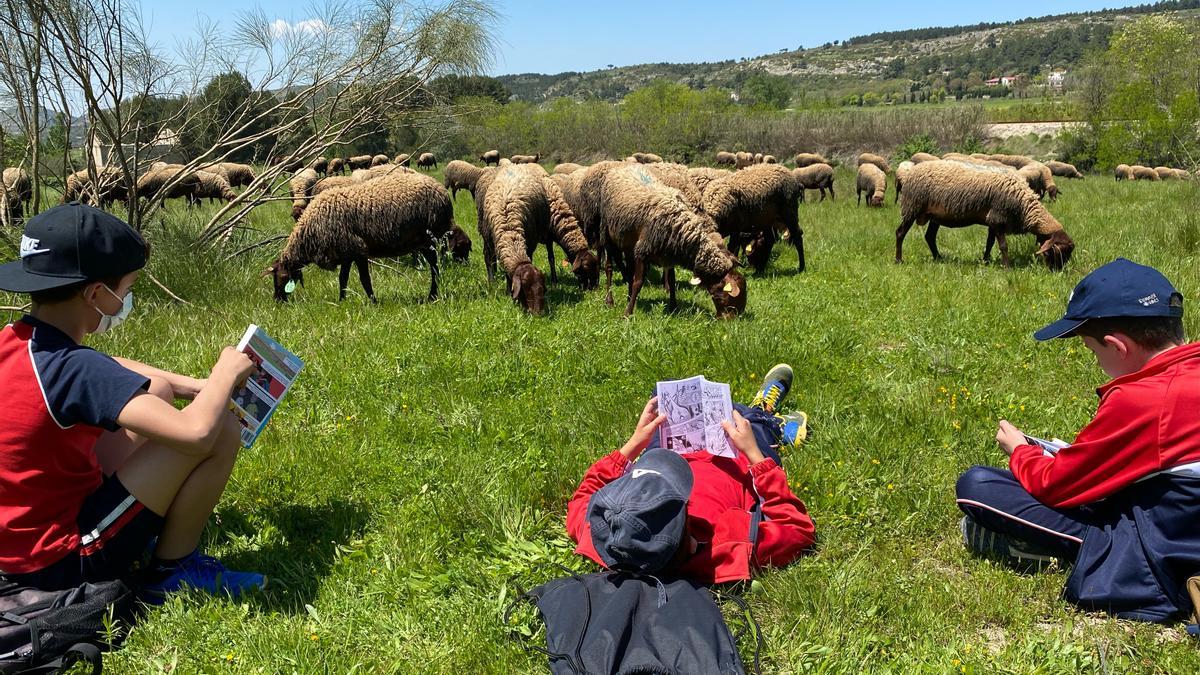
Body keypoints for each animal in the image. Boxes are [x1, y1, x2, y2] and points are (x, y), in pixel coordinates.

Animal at [595, 164, 744, 317]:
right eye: (728, 297)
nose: (731, 319)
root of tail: (624, 166)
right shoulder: (642, 251)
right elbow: (639, 282)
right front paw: (628, 313)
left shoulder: (669, 255)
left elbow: (672, 281)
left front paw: (673, 307)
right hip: (607, 234)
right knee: (609, 268)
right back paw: (609, 300)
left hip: (628, 242)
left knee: (629, 269)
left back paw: (629, 296)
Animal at [897, 158, 1075, 269]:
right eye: (1059, 251)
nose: (1057, 272)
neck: (1023, 205)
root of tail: (909, 173)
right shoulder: (998, 218)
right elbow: (1003, 246)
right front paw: (1007, 268)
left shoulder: (993, 221)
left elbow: (990, 243)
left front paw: (986, 260)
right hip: (912, 207)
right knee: (900, 233)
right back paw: (899, 260)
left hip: (935, 216)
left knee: (930, 237)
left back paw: (938, 258)